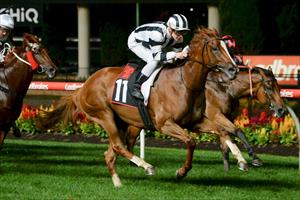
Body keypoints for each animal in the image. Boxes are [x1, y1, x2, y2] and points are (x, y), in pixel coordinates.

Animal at [38, 27, 239, 188]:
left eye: (228, 48)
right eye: (215, 48)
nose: (234, 69)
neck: (185, 82)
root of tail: (83, 87)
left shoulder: (194, 122)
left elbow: (222, 130)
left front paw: (241, 159)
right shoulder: (164, 124)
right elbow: (191, 141)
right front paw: (181, 172)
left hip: (120, 121)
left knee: (110, 154)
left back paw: (118, 183)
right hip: (104, 115)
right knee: (118, 146)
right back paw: (146, 166)